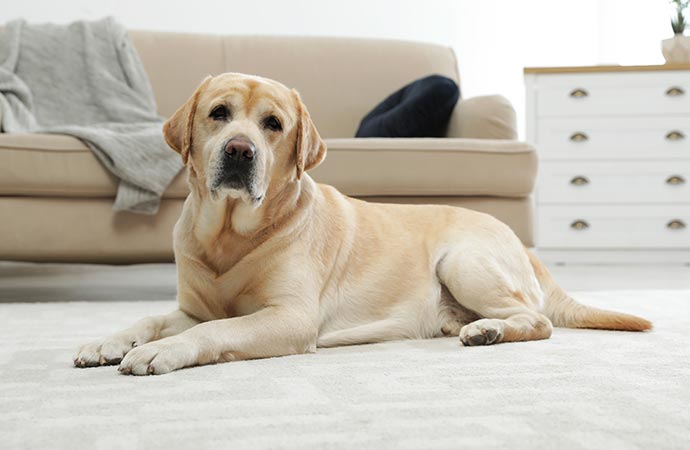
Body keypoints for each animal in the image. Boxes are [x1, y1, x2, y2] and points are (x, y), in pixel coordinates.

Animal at [75, 74, 652, 376]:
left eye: (272, 124)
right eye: (219, 113)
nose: (240, 151)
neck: (230, 236)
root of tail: (518, 241)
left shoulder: (290, 318)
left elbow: (217, 330)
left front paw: (159, 352)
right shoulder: (189, 308)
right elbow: (150, 318)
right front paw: (109, 341)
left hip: (463, 260)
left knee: (537, 320)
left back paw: (487, 330)